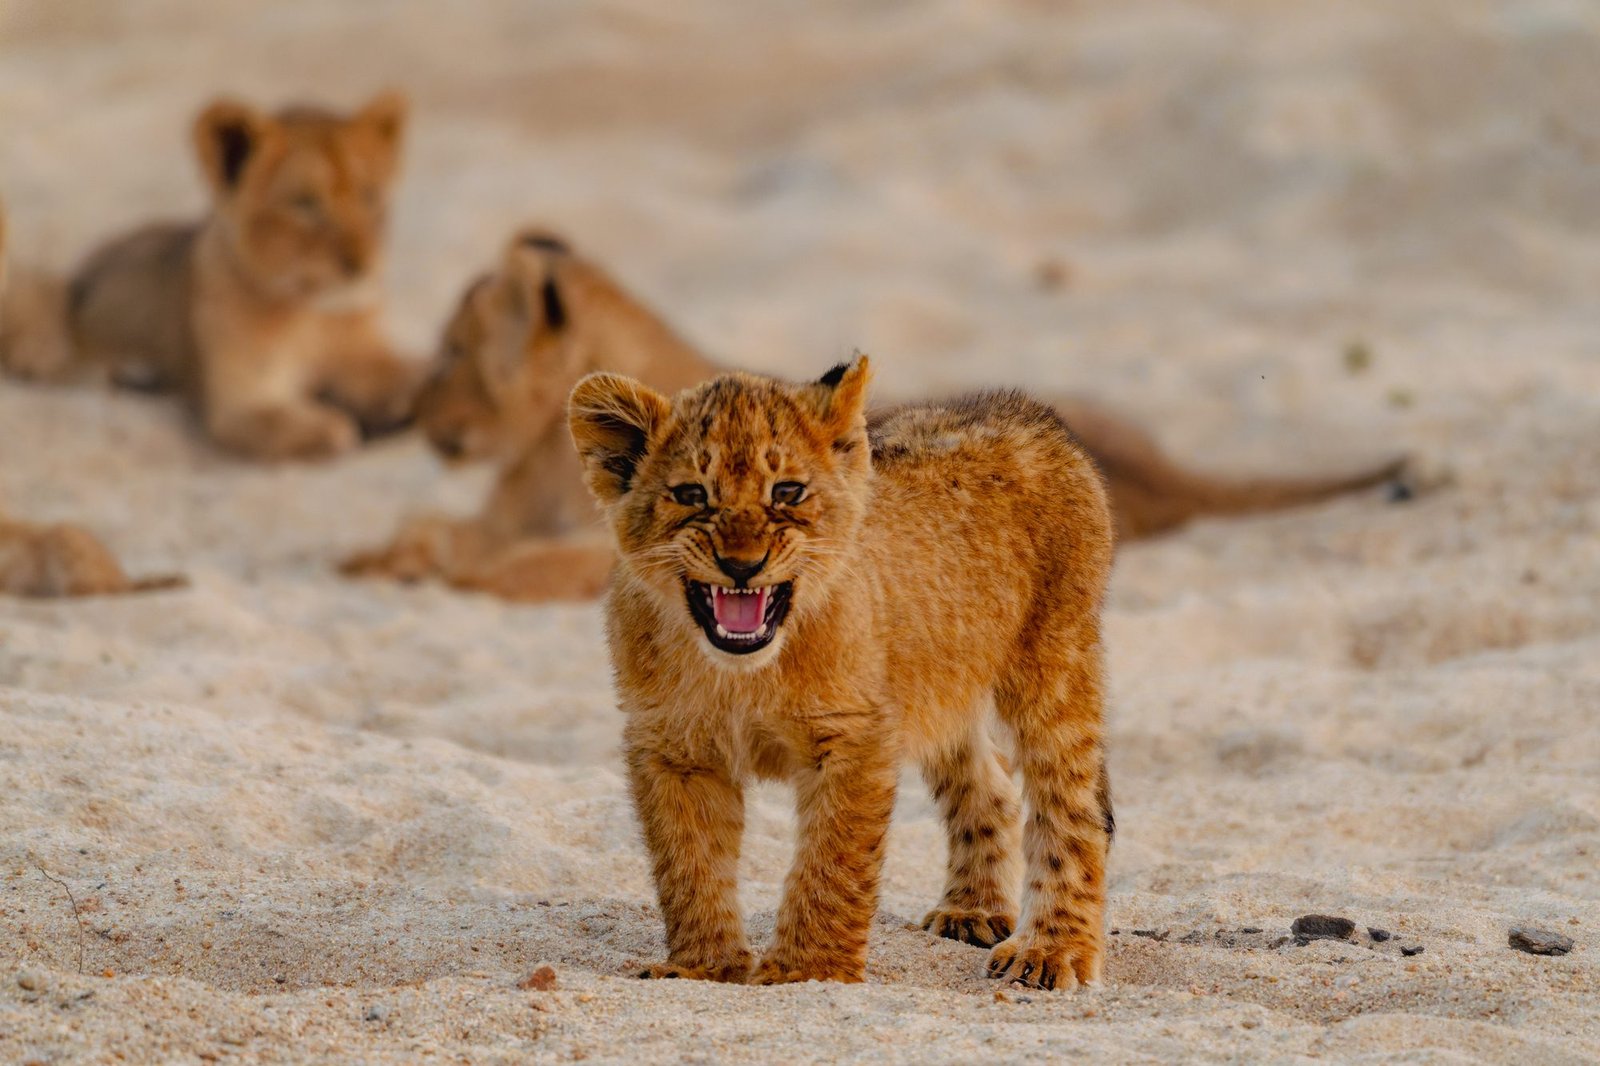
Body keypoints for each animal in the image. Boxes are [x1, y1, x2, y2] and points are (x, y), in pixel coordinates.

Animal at [1, 92, 422, 461]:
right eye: (305, 204)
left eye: (369, 195)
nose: (361, 264)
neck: (309, 312)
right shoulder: (241, 405)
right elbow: (297, 423)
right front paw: (331, 427)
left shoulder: (363, 351)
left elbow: (399, 369)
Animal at [344, 229, 1407, 599]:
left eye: (450, 353)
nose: (406, 411)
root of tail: (1170, 471)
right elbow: (442, 527)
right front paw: (385, 555)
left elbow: (532, 562)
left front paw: (448, 572)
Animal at [568, 355, 1112, 988]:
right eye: (690, 494)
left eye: (787, 491)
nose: (741, 565)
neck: (742, 673)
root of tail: (1022, 409)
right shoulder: (672, 747)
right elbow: (689, 862)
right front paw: (703, 968)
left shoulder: (855, 735)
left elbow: (831, 862)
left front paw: (807, 971)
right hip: (940, 689)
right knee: (991, 786)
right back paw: (971, 912)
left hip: (1054, 660)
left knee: (1072, 810)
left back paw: (1050, 950)